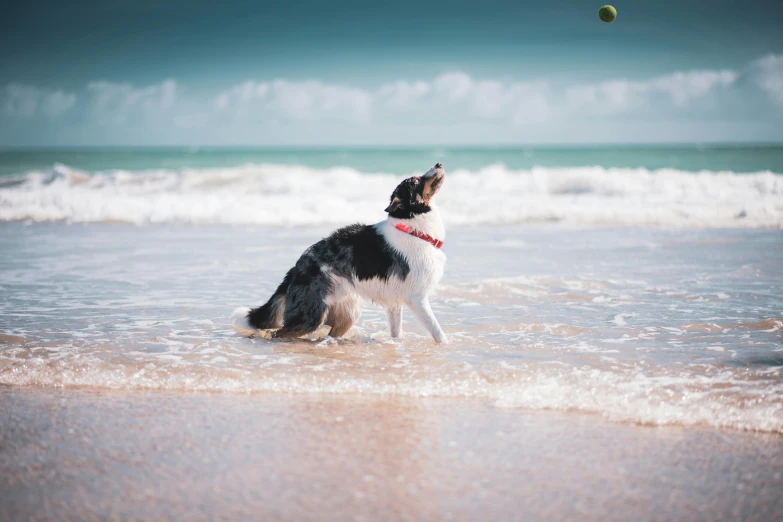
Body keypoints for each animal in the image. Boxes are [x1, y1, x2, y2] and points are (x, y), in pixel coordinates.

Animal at [233, 162, 448, 342]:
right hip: (311, 315)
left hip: (348, 311)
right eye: (416, 180)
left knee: (329, 332)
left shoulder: (395, 303)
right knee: (278, 332)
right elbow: (438, 332)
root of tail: (296, 267)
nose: (438, 164)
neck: (413, 228)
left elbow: (396, 333)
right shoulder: (417, 298)